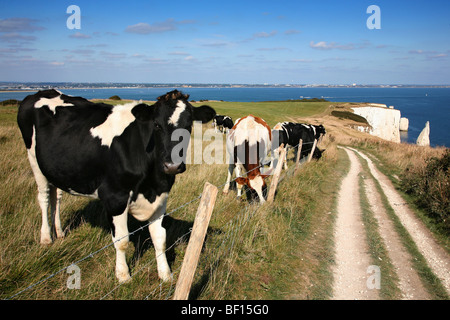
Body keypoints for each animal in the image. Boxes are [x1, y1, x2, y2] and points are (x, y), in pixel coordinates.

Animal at [15, 89, 216, 282]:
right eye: (157, 125)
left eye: (188, 126)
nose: (172, 166)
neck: (151, 182)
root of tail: (43, 92)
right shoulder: (115, 197)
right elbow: (122, 240)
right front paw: (123, 275)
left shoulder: (160, 196)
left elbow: (160, 238)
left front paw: (165, 274)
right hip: (34, 162)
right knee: (43, 197)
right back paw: (46, 237)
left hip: (55, 169)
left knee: (56, 197)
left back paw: (60, 232)